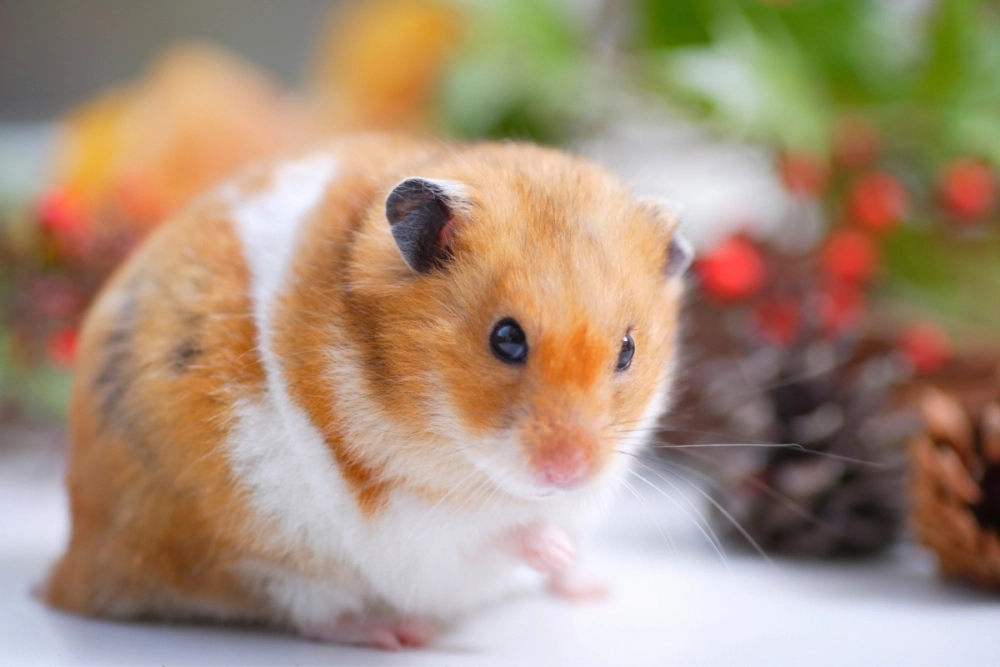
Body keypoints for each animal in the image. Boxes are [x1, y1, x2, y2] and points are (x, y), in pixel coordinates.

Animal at [42, 134, 691, 650]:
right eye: (506, 339)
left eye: (628, 351)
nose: (569, 472)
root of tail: (70, 571)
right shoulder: (408, 525)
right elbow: (491, 533)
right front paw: (551, 546)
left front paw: (587, 575)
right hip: (245, 548)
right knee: (307, 610)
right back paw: (397, 634)